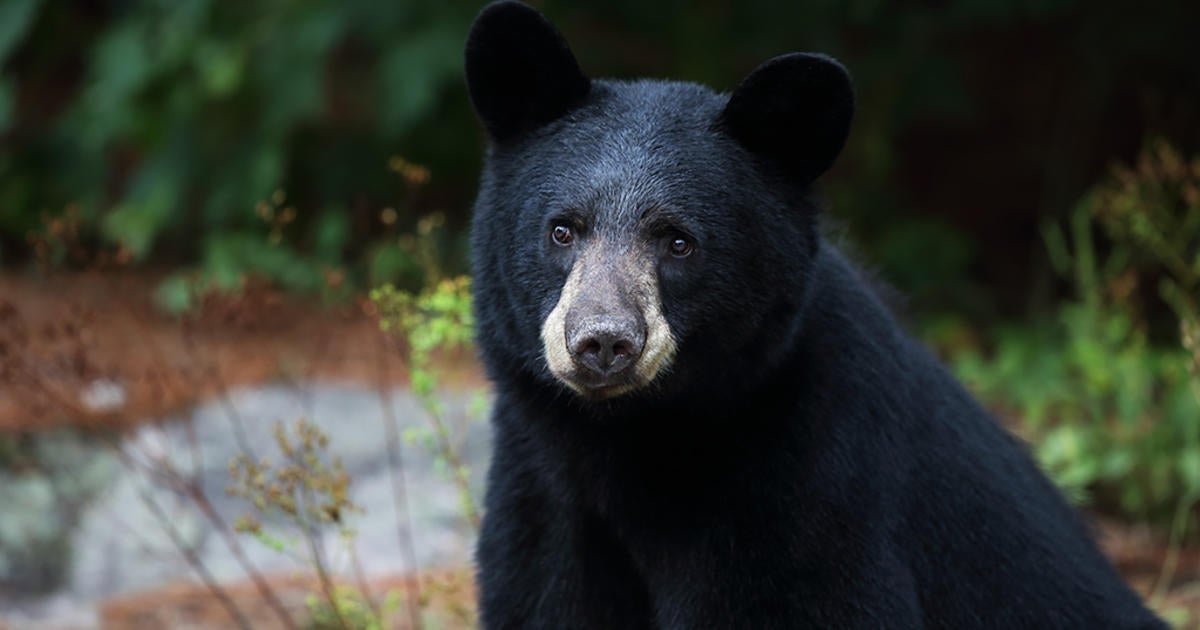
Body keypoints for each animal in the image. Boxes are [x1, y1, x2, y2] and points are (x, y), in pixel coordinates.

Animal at [463, 2, 1166, 624]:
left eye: (679, 242)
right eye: (562, 230)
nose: (604, 342)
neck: (632, 443)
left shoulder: (809, 491)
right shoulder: (544, 508)